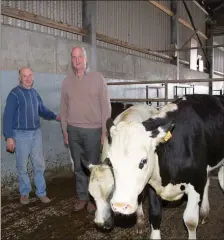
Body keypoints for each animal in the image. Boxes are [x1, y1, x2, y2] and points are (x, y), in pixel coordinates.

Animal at [102, 94, 223, 239]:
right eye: (110, 162)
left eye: (143, 161)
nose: (120, 206)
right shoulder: (152, 186)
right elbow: (155, 214)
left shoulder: (196, 182)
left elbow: (190, 220)